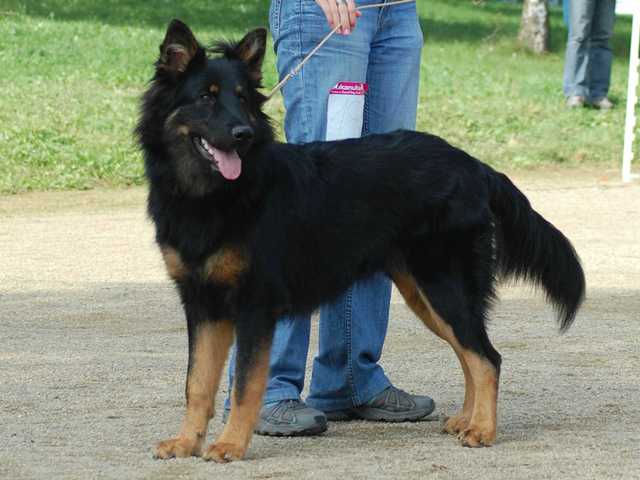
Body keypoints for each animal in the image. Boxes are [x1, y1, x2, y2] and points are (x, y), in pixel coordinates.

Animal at [135, 20, 585, 462]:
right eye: (206, 98)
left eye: (242, 99)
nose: (243, 134)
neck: (214, 195)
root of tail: (472, 163)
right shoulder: (202, 306)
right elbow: (197, 383)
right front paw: (187, 442)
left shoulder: (254, 307)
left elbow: (245, 384)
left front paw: (229, 444)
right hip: (427, 297)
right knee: (469, 354)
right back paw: (466, 419)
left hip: (444, 288)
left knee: (487, 357)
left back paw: (483, 429)